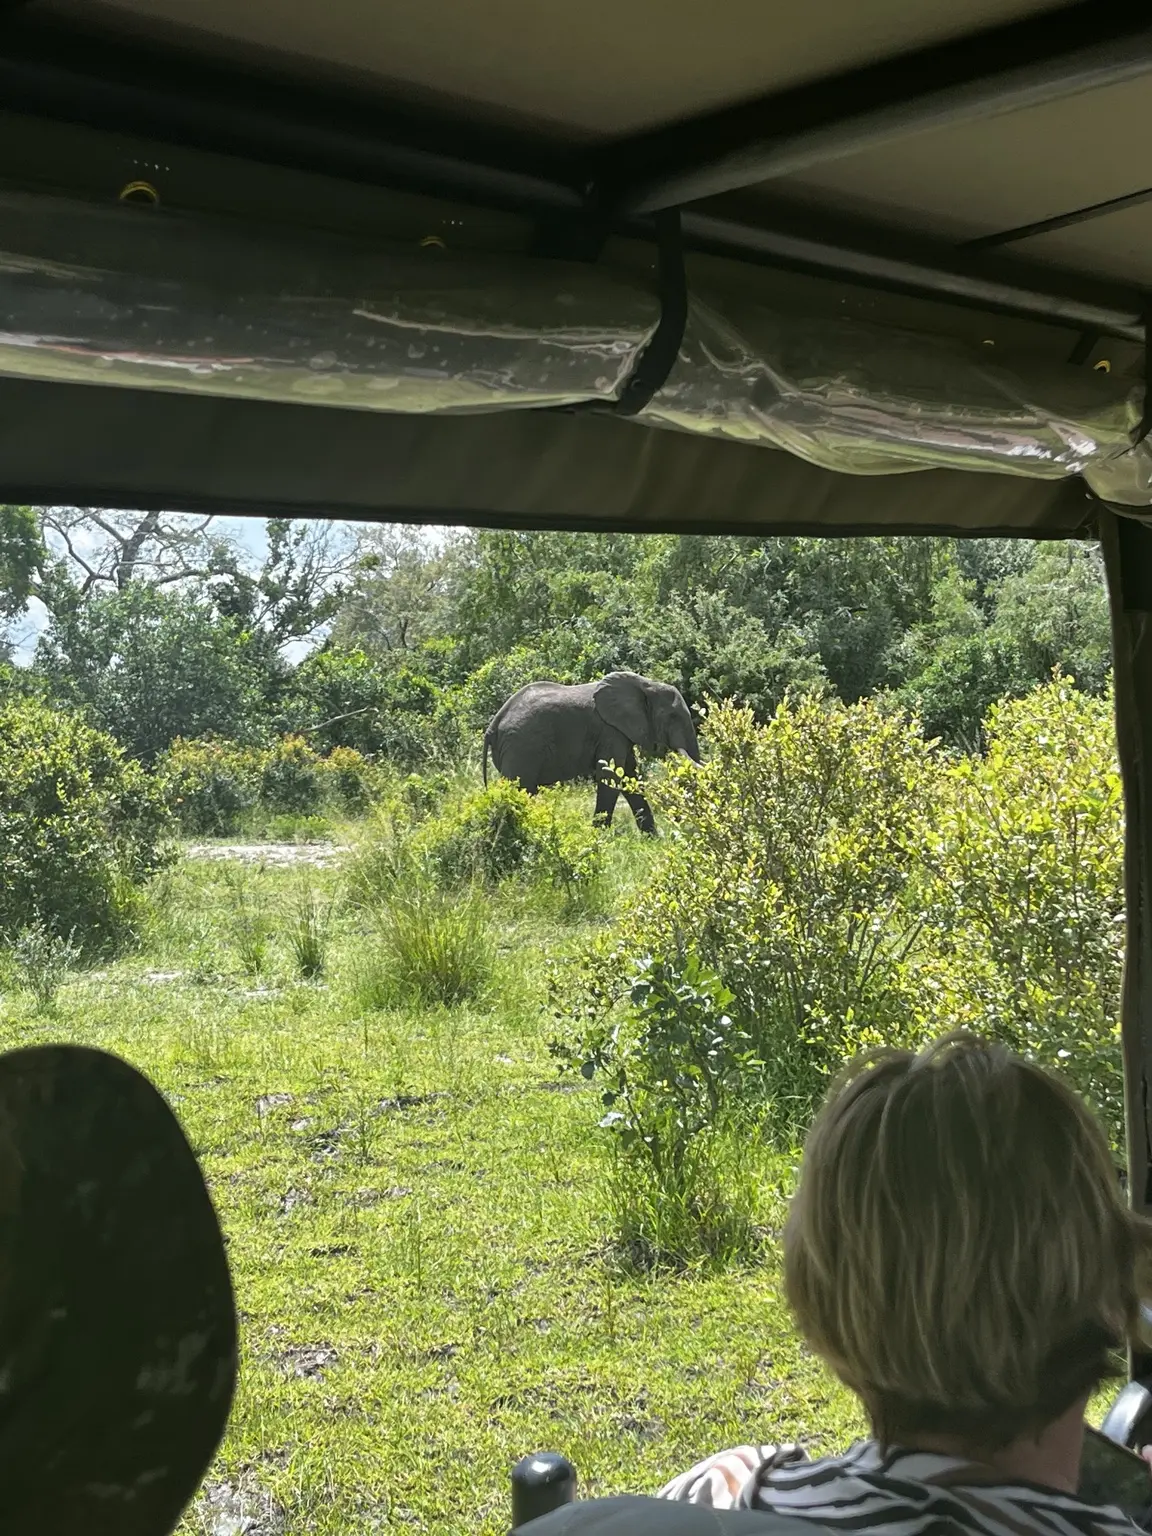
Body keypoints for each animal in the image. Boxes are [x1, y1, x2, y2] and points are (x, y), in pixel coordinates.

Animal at [482, 671, 701, 835]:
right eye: (672, 717)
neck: (646, 684)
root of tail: (492, 727)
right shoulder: (609, 731)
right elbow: (610, 776)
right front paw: (598, 838)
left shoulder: (620, 732)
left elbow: (629, 776)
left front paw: (653, 838)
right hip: (521, 748)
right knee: (520, 789)